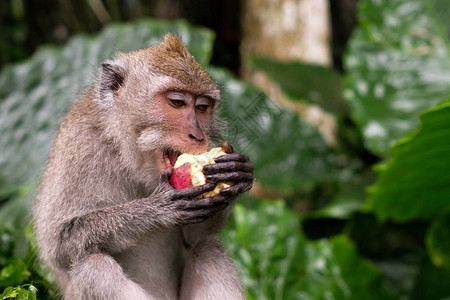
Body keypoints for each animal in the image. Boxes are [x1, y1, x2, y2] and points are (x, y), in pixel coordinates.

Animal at [33, 33, 253, 300]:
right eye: (177, 102)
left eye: (202, 107)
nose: (198, 136)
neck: (125, 152)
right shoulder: (80, 145)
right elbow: (57, 242)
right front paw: (156, 210)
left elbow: (195, 238)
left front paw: (237, 173)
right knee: (94, 268)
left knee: (208, 250)